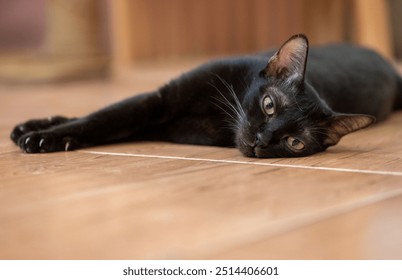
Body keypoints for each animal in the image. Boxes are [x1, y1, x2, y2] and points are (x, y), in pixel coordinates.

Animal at [9, 34, 402, 158]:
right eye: (269, 105)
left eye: (294, 142)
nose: (261, 140)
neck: (219, 111)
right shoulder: (160, 99)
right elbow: (101, 117)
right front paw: (42, 132)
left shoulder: (162, 122)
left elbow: (107, 122)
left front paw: (47, 136)